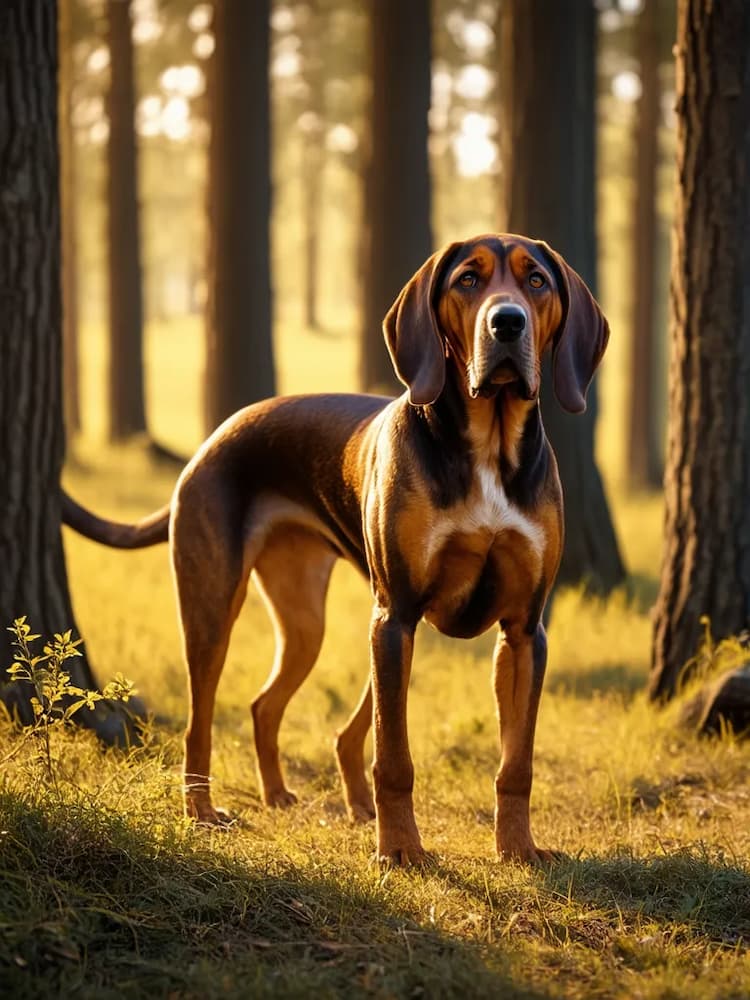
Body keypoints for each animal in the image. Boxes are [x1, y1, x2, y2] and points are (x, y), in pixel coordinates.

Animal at [63, 236, 612, 868]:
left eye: (537, 281)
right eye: (468, 280)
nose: (507, 322)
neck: (487, 448)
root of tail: (211, 440)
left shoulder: (523, 632)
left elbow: (515, 763)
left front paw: (519, 848)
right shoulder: (396, 615)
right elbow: (395, 760)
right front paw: (400, 851)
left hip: (311, 623)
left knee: (273, 708)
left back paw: (283, 795)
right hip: (214, 610)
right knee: (201, 722)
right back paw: (202, 812)